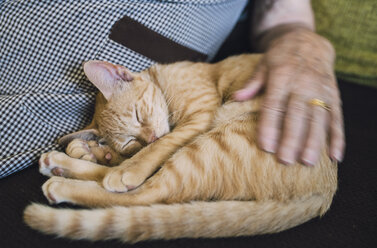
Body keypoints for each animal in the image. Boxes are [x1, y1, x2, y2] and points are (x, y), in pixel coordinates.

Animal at [23, 54, 336, 242]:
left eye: (138, 115)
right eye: (130, 140)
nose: (147, 137)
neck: (164, 81)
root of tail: (326, 190)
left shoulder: (199, 117)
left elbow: (160, 146)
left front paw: (126, 165)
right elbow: (143, 155)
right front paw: (104, 153)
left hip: (215, 140)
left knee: (144, 194)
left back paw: (65, 181)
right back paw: (66, 162)